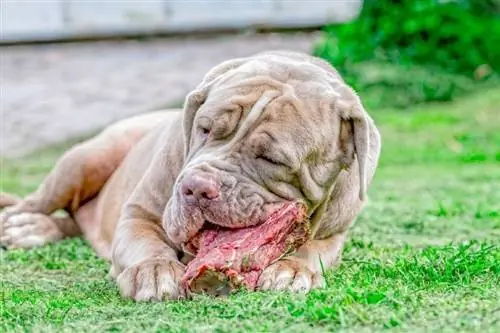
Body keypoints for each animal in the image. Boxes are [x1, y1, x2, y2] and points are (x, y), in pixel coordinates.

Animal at [0, 50, 382, 300]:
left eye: (271, 158)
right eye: (204, 128)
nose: (197, 188)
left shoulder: (336, 232)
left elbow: (313, 250)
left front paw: (292, 269)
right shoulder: (140, 211)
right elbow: (145, 241)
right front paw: (154, 272)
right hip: (85, 159)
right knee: (37, 202)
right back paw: (25, 225)